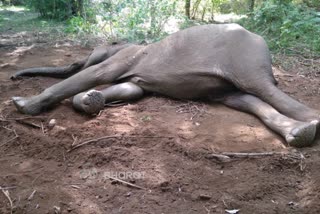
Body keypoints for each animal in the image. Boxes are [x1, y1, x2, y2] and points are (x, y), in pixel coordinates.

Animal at [10, 23, 320, 147]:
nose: (13, 77)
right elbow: (131, 90)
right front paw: (90, 100)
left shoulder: (126, 56)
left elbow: (97, 73)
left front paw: (22, 105)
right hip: (229, 86)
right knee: (249, 100)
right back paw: (301, 133)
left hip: (244, 61)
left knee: (265, 91)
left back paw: (310, 122)